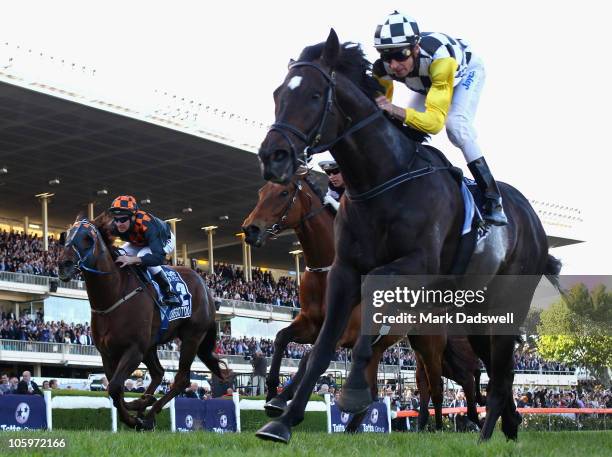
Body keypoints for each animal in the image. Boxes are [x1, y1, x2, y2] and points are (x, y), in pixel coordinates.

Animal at [58, 214, 230, 428]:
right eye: (65, 236)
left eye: (88, 238)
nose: (63, 265)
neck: (114, 294)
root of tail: (206, 289)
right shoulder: (107, 353)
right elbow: (115, 389)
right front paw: (137, 409)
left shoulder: (134, 350)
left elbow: (115, 387)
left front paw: (134, 416)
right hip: (151, 344)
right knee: (158, 373)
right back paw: (145, 407)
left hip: (191, 337)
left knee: (181, 379)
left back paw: (148, 414)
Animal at [241, 169, 486, 430]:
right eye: (261, 192)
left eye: (284, 192)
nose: (250, 229)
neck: (324, 270)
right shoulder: (310, 322)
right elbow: (280, 338)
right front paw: (271, 395)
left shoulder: (344, 331)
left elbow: (307, 357)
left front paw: (281, 399)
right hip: (382, 347)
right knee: (382, 391)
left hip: (429, 343)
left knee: (439, 385)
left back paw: (439, 426)